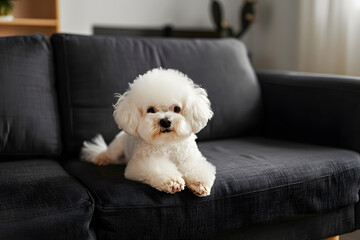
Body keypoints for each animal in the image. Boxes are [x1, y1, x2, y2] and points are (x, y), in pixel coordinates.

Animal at [81, 68, 217, 197]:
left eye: (177, 108)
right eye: (151, 110)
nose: (165, 121)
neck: (168, 143)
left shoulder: (190, 159)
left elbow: (195, 168)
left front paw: (199, 184)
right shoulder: (142, 163)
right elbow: (159, 169)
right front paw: (173, 182)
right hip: (116, 148)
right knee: (109, 154)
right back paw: (101, 158)